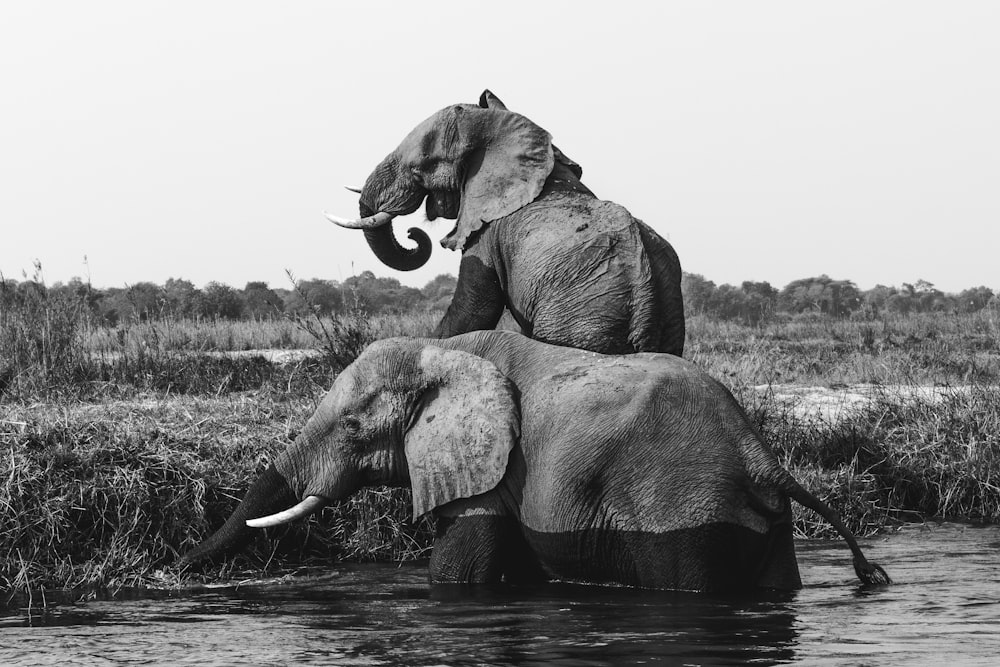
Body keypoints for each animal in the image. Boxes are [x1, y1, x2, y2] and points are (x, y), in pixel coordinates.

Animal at [180, 332, 892, 592]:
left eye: (354, 428)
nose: (176, 567)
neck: (441, 349)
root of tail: (760, 455)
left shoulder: (495, 468)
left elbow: (460, 568)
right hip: (760, 524)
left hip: (687, 506)